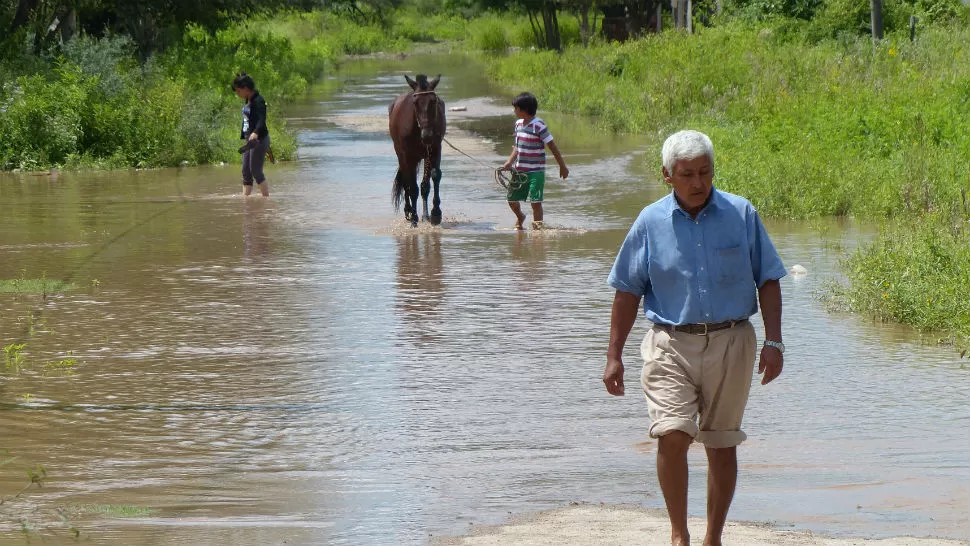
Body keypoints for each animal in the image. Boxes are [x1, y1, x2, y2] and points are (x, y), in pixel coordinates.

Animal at [388, 74, 444, 225]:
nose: (427, 135)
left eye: (433, 101)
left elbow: (433, 178)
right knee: (406, 181)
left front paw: (435, 213)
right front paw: (414, 217)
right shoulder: (407, 155)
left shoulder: (434, 149)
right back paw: (409, 211)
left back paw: (425, 215)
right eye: (415, 103)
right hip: (402, 155)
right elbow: (412, 187)